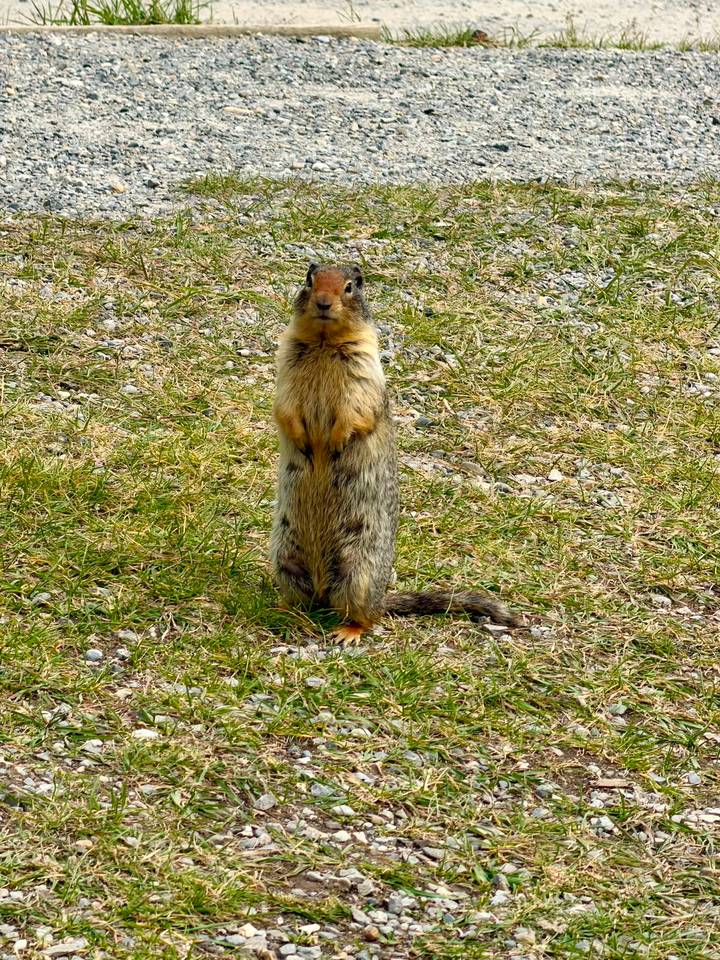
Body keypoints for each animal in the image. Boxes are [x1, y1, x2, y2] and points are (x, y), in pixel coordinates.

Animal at [270, 262, 519, 644]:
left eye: (351, 286)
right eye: (310, 279)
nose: (324, 302)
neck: (325, 343)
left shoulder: (364, 371)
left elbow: (356, 411)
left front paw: (335, 443)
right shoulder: (287, 364)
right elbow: (284, 407)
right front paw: (303, 440)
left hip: (360, 569)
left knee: (365, 616)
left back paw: (348, 631)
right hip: (285, 556)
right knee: (304, 600)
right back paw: (283, 610)